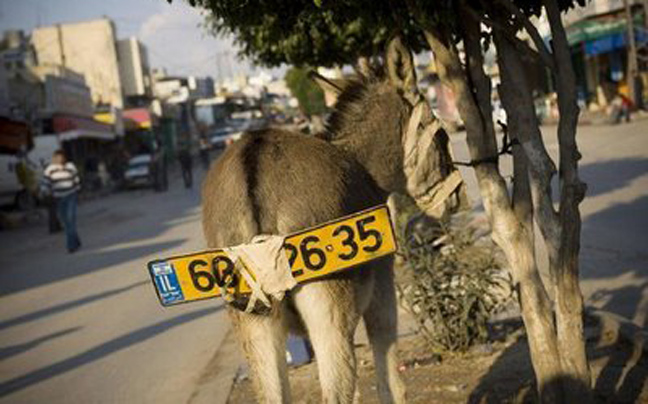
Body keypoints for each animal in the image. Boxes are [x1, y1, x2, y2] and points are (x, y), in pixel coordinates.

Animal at [201, 37, 463, 404]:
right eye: (441, 135)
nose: (457, 196)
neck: (363, 165)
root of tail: (251, 167)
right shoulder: (382, 291)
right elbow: (389, 383)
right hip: (328, 311)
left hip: (254, 323)